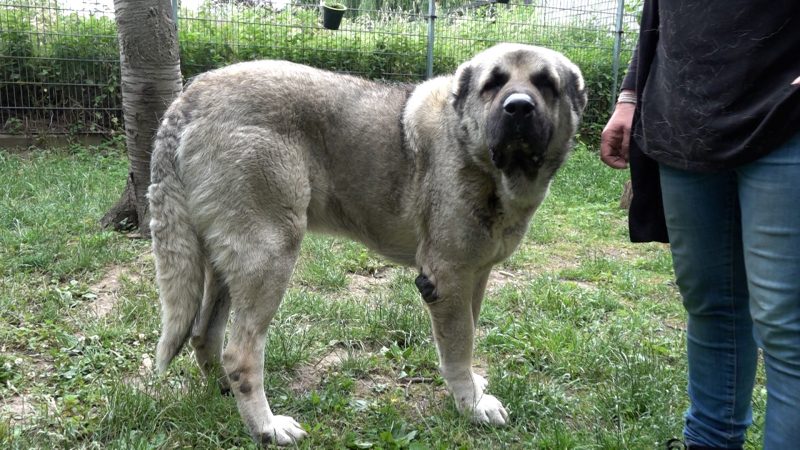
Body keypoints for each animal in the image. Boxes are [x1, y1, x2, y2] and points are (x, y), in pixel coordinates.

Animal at [148, 44, 588, 444]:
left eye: (546, 84)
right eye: (493, 84)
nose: (519, 108)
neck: (474, 152)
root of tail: (188, 99)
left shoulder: (475, 276)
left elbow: (468, 332)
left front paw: (472, 392)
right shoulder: (448, 279)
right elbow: (459, 347)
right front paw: (472, 404)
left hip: (226, 263)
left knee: (205, 334)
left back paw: (224, 392)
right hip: (269, 254)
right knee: (240, 353)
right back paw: (267, 428)